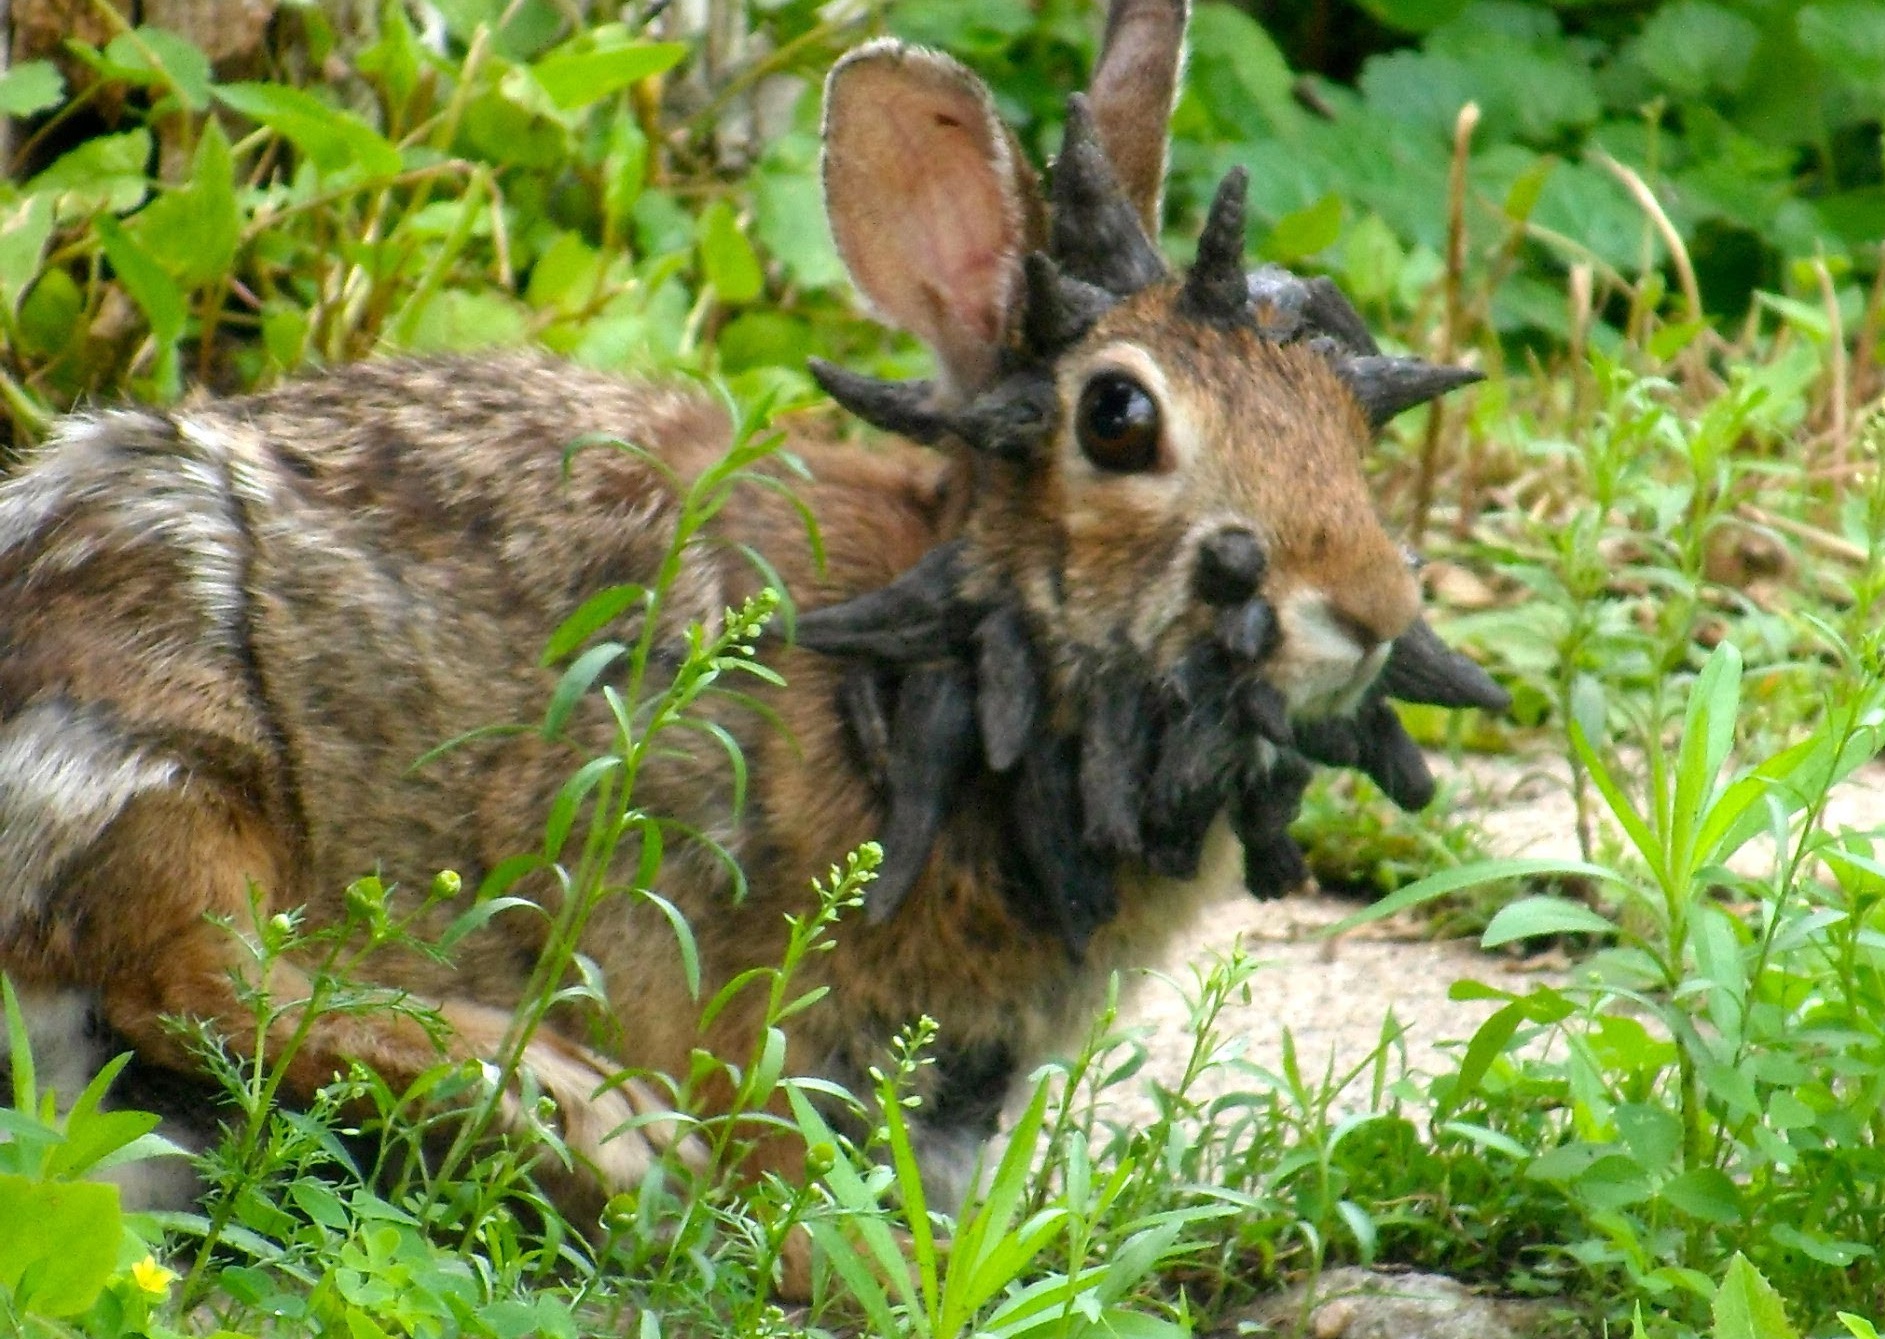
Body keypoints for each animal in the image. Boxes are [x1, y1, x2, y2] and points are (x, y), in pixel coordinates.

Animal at [0, 0, 1500, 1237]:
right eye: (1118, 419)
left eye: (1348, 418)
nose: (1370, 606)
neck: (933, 651)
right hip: (166, 734)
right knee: (201, 980)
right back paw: (575, 1114)